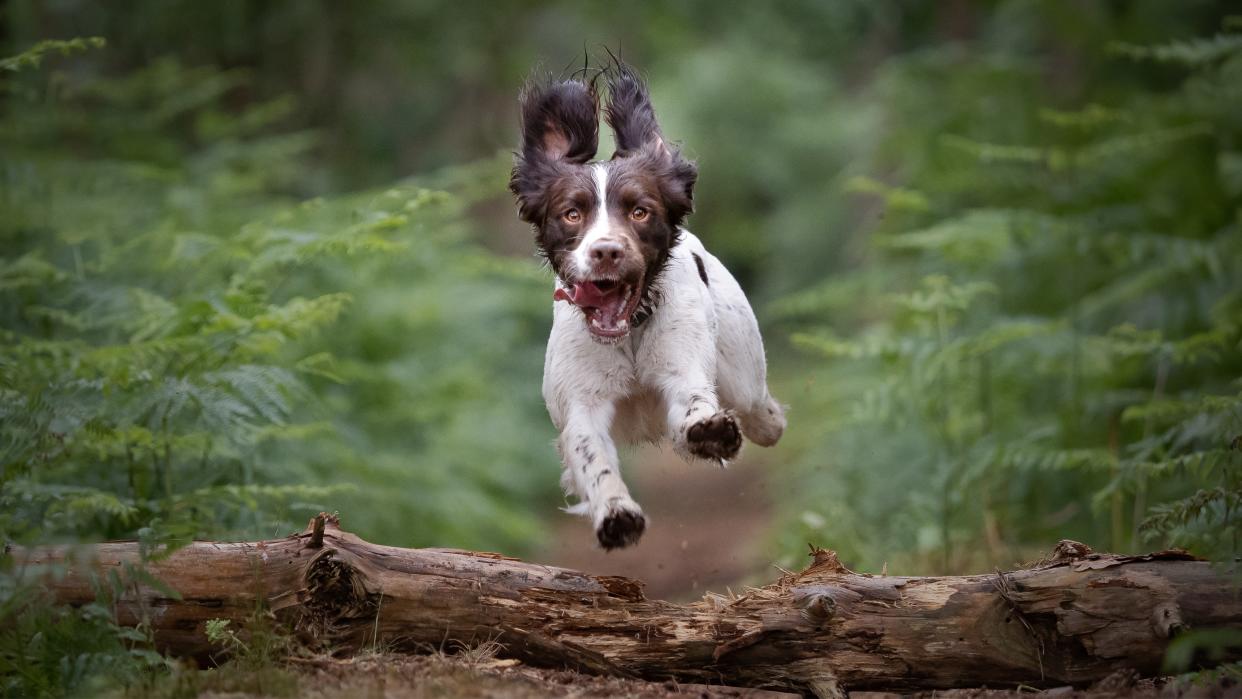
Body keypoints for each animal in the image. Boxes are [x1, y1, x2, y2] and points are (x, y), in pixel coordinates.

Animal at [506, 63, 779, 548]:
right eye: (572, 214)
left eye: (640, 211)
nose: (607, 251)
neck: (629, 328)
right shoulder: (581, 402)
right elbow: (591, 455)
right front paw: (616, 514)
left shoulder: (683, 366)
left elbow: (693, 403)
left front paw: (711, 432)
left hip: (743, 372)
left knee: (757, 406)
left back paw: (768, 422)